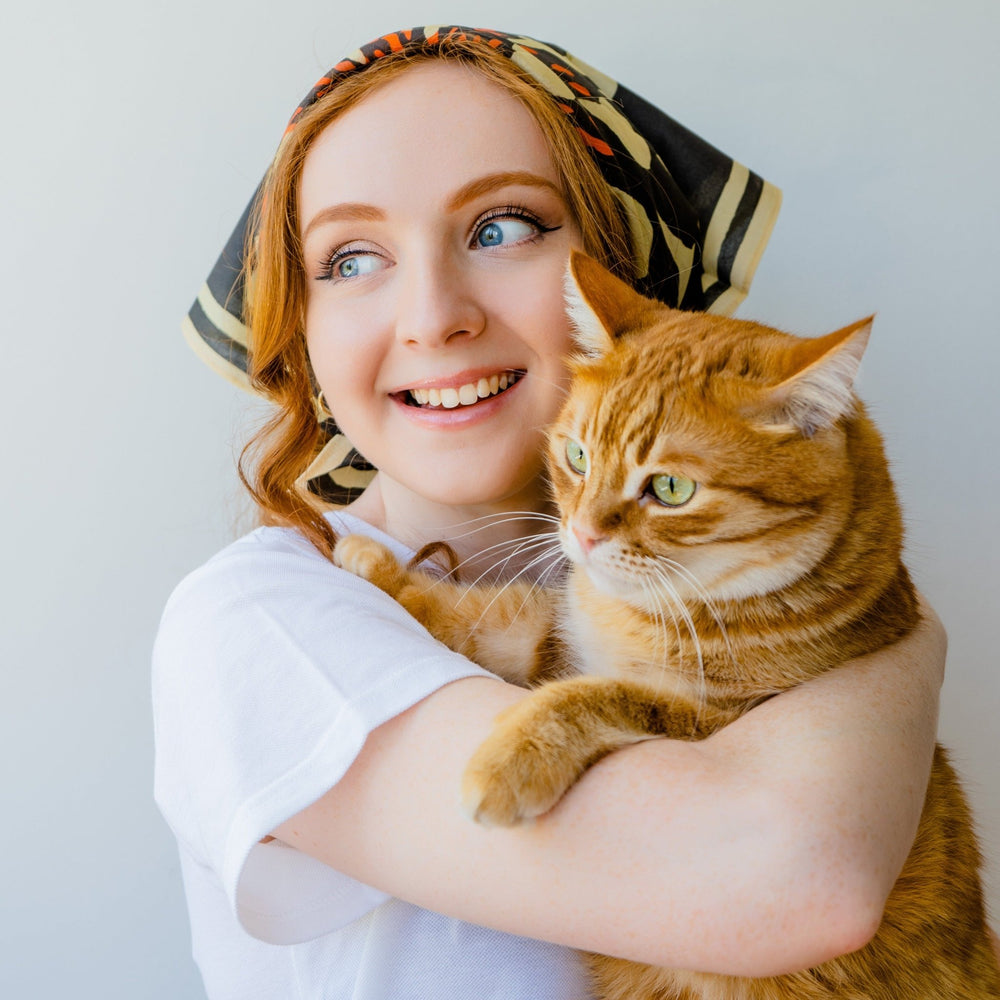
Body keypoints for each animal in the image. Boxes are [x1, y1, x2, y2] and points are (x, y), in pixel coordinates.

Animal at [336, 252, 1000, 1000]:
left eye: (671, 490)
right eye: (577, 457)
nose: (582, 535)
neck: (633, 616)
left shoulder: (717, 723)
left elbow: (594, 696)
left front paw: (508, 760)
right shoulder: (550, 633)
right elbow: (479, 612)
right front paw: (377, 566)